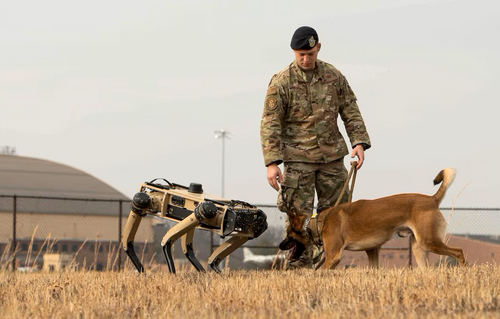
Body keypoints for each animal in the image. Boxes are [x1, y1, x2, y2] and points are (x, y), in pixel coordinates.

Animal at [280, 169, 466, 268]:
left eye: (288, 234)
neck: (318, 222)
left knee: (459, 251)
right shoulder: (372, 250)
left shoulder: (333, 256)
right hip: (418, 247)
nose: (280, 245)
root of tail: (432, 199)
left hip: (429, 241)